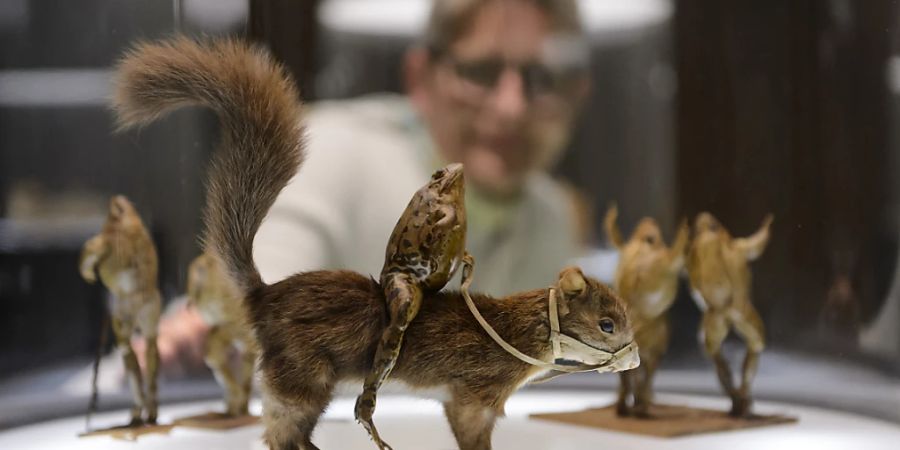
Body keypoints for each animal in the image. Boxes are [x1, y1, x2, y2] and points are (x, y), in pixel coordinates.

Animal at [110, 37, 632, 448]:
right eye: (607, 324)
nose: (633, 351)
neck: (518, 330)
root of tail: (261, 296)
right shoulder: (474, 396)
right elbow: (471, 432)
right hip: (303, 377)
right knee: (282, 432)